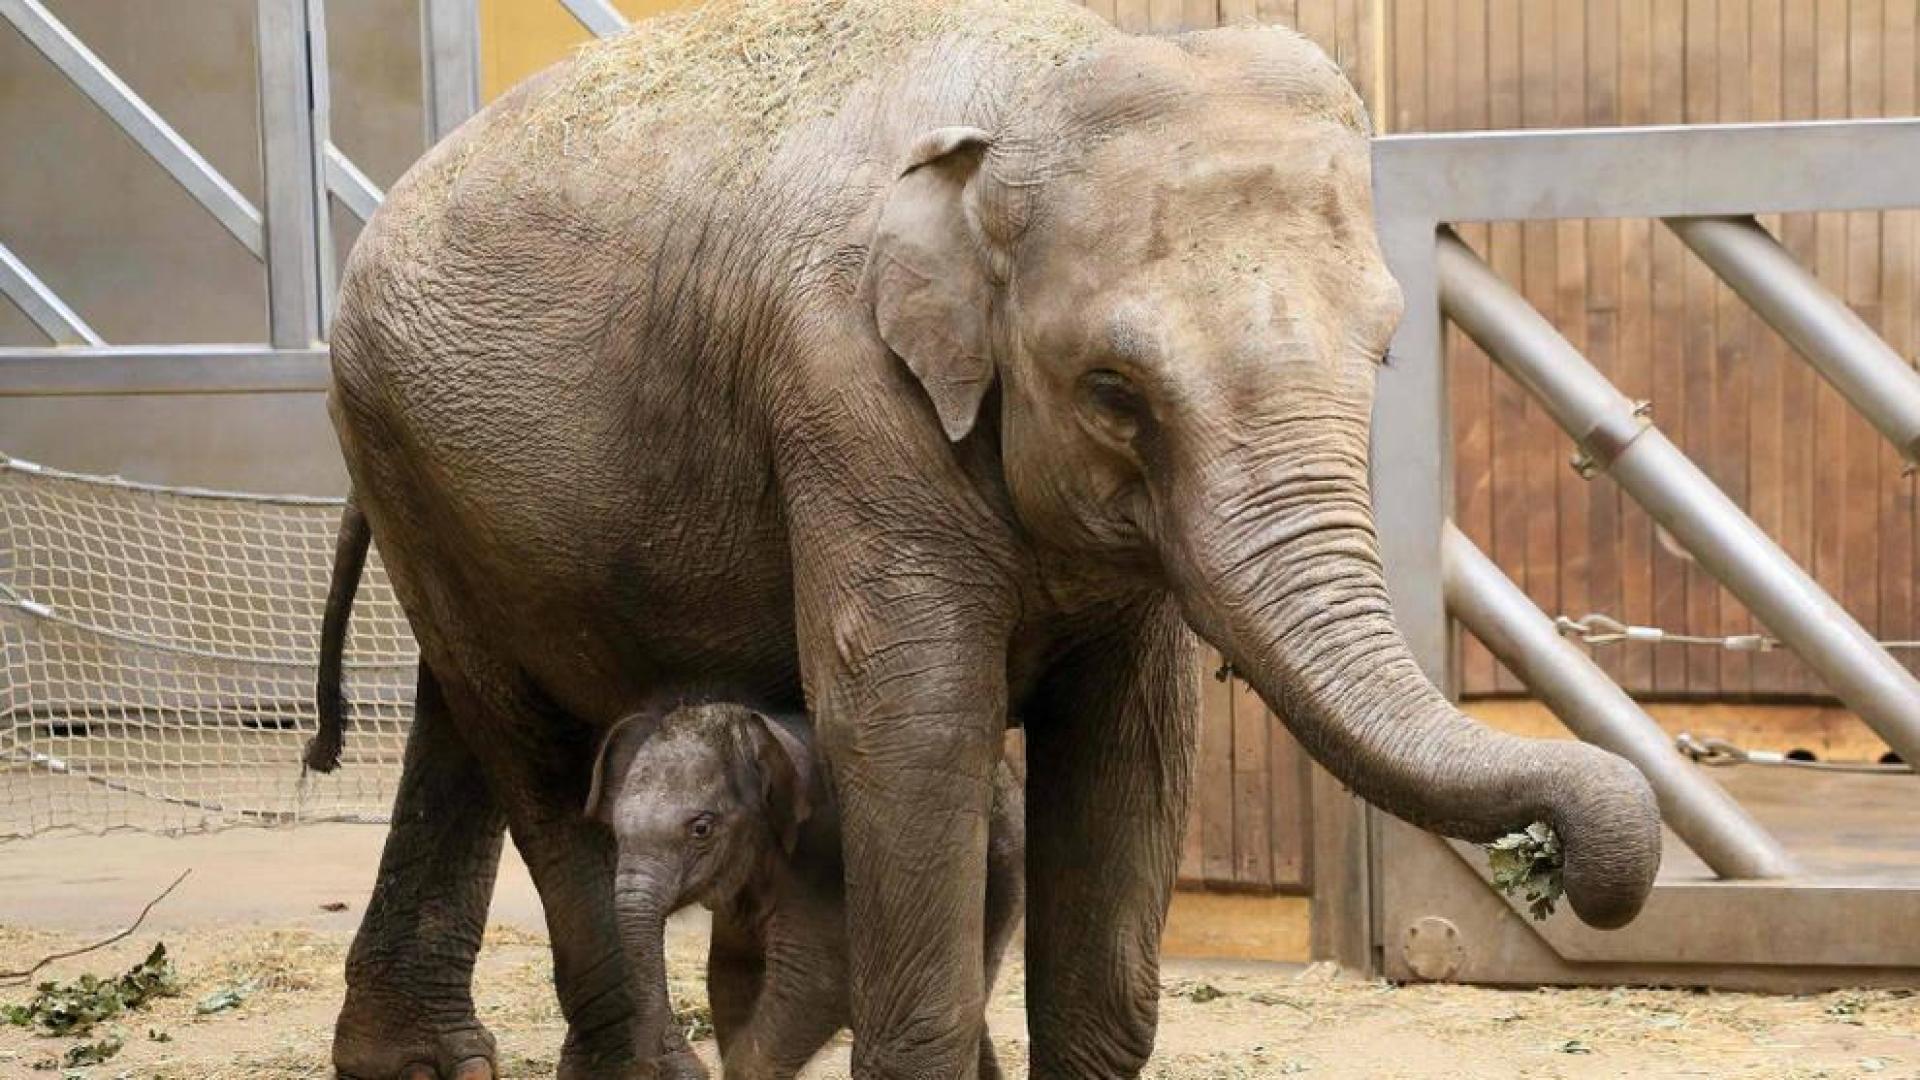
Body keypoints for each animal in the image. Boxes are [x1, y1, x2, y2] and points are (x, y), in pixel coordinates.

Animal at [582, 702, 1024, 1079]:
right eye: (616, 828)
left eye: (701, 828)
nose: (665, 1061)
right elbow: (730, 975)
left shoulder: (822, 860)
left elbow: (816, 981)